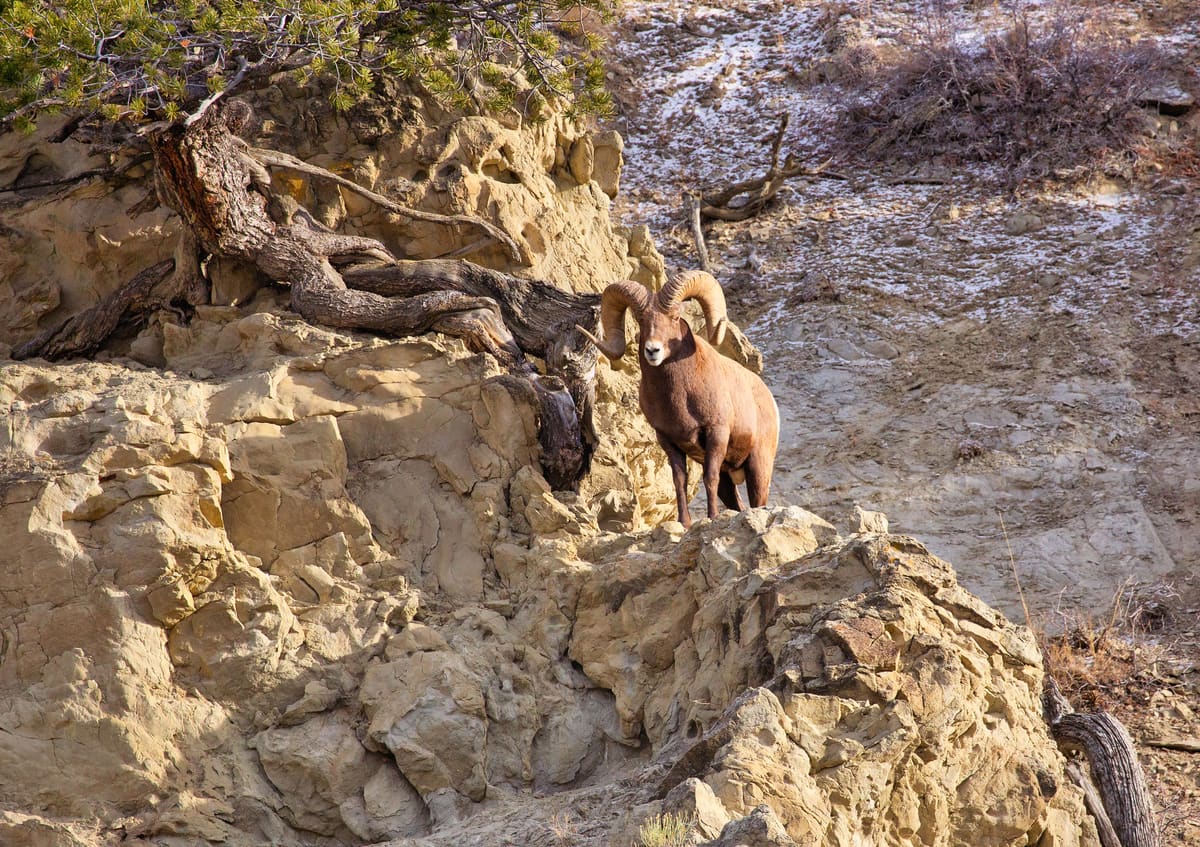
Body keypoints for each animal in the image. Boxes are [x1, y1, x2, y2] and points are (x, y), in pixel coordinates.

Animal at [576, 270, 779, 528]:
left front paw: (712, 517)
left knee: (757, 500)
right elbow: (679, 482)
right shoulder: (669, 441)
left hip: (758, 467)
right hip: (731, 477)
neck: (680, 397)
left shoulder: (716, 434)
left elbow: (709, 478)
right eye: (641, 320)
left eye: (674, 317)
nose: (652, 351)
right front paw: (684, 523)